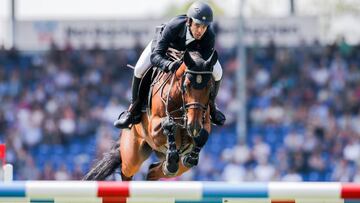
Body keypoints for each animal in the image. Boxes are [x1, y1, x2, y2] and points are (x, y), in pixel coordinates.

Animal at [84, 49, 218, 181]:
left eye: (209, 88)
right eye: (186, 86)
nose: (193, 126)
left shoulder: (203, 122)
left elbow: (203, 135)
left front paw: (191, 157)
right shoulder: (153, 129)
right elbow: (168, 124)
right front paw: (172, 152)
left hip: (176, 167)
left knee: (153, 172)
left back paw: (169, 165)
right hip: (132, 155)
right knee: (127, 171)